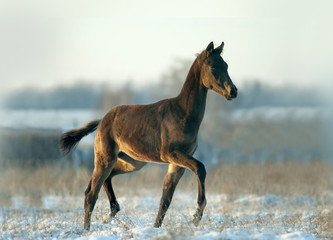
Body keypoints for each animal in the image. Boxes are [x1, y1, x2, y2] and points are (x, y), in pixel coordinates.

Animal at [59, 41, 236, 231]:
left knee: (104, 180)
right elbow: (200, 168)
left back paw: (111, 213)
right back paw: (87, 229)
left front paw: (157, 227)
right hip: (105, 158)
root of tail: (102, 120)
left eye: (226, 65)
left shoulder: (176, 163)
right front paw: (196, 216)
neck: (183, 113)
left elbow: (166, 199)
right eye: (213, 67)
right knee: (91, 194)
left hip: (133, 162)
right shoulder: (171, 153)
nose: (233, 91)